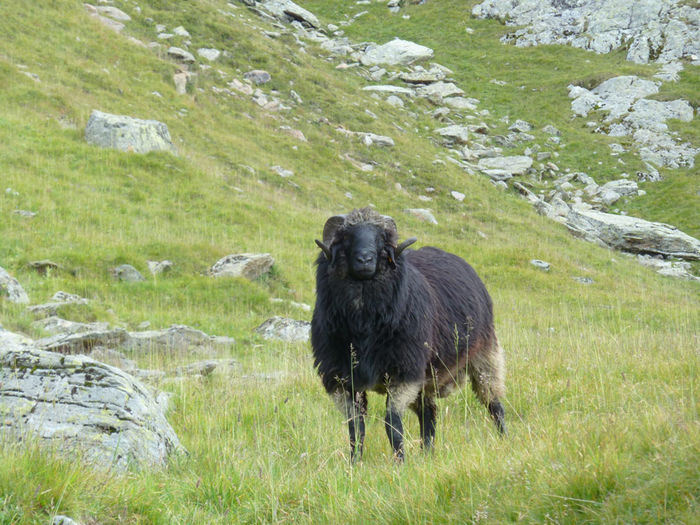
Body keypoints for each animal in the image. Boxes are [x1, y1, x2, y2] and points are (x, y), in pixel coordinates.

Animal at [312, 207, 504, 460]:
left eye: (382, 239)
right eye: (346, 237)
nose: (365, 260)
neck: (362, 328)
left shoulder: (404, 372)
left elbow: (392, 423)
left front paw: (399, 462)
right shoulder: (341, 380)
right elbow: (356, 428)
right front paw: (354, 463)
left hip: (484, 356)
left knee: (494, 403)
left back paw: (504, 439)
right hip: (428, 376)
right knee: (429, 414)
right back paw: (427, 454)